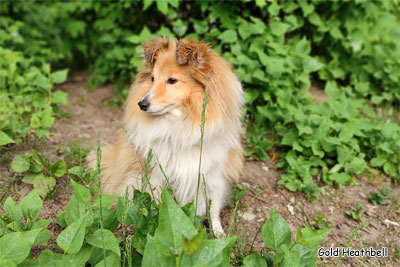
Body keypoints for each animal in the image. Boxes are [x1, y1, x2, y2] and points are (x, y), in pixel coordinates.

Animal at [88, 37, 242, 237]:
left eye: (172, 80)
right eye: (153, 78)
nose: (141, 104)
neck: (179, 124)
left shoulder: (212, 173)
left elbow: (213, 207)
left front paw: (219, 233)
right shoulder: (156, 174)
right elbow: (158, 203)